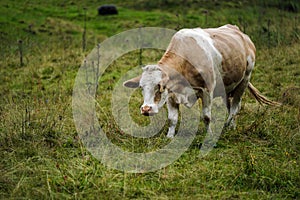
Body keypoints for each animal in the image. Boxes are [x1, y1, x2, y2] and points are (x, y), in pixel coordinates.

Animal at [122, 24, 282, 138]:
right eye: (141, 87)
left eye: (160, 87)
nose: (145, 109)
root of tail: (240, 33)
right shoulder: (172, 95)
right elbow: (172, 118)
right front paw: (169, 136)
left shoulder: (207, 91)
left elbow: (206, 116)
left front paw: (209, 135)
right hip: (227, 88)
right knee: (231, 106)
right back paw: (232, 126)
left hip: (244, 80)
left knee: (236, 106)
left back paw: (229, 125)